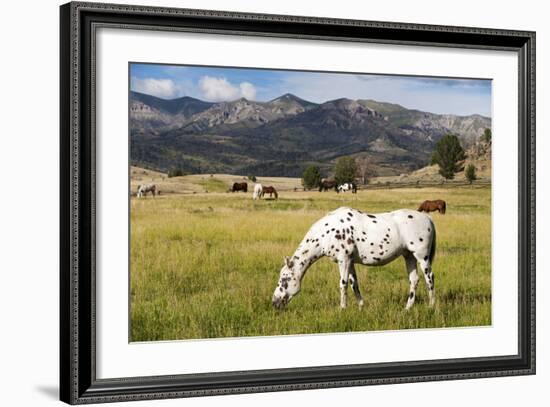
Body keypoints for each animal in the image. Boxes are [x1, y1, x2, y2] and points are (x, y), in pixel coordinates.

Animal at [274, 207, 438, 310]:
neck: (327, 232)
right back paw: (407, 308)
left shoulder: (344, 260)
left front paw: (342, 308)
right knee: (414, 280)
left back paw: (431, 306)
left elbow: (343, 284)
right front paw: (361, 306)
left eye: (284, 279)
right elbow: (354, 285)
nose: (274, 302)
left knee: (429, 277)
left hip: (422, 257)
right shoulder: (350, 262)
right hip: (409, 256)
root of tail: (428, 217)